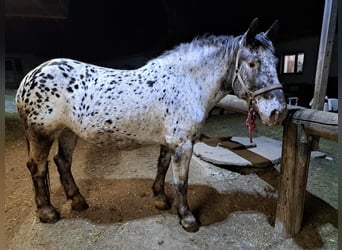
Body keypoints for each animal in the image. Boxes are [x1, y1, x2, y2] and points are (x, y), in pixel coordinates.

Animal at [16, 18, 288, 232]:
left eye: (275, 61)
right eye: (253, 63)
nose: (278, 112)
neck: (187, 83)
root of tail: (30, 77)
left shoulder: (170, 141)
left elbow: (162, 167)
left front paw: (160, 198)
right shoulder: (183, 144)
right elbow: (181, 181)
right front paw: (187, 218)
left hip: (67, 132)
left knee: (62, 162)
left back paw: (78, 201)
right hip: (42, 134)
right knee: (37, 168)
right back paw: (48, 212)